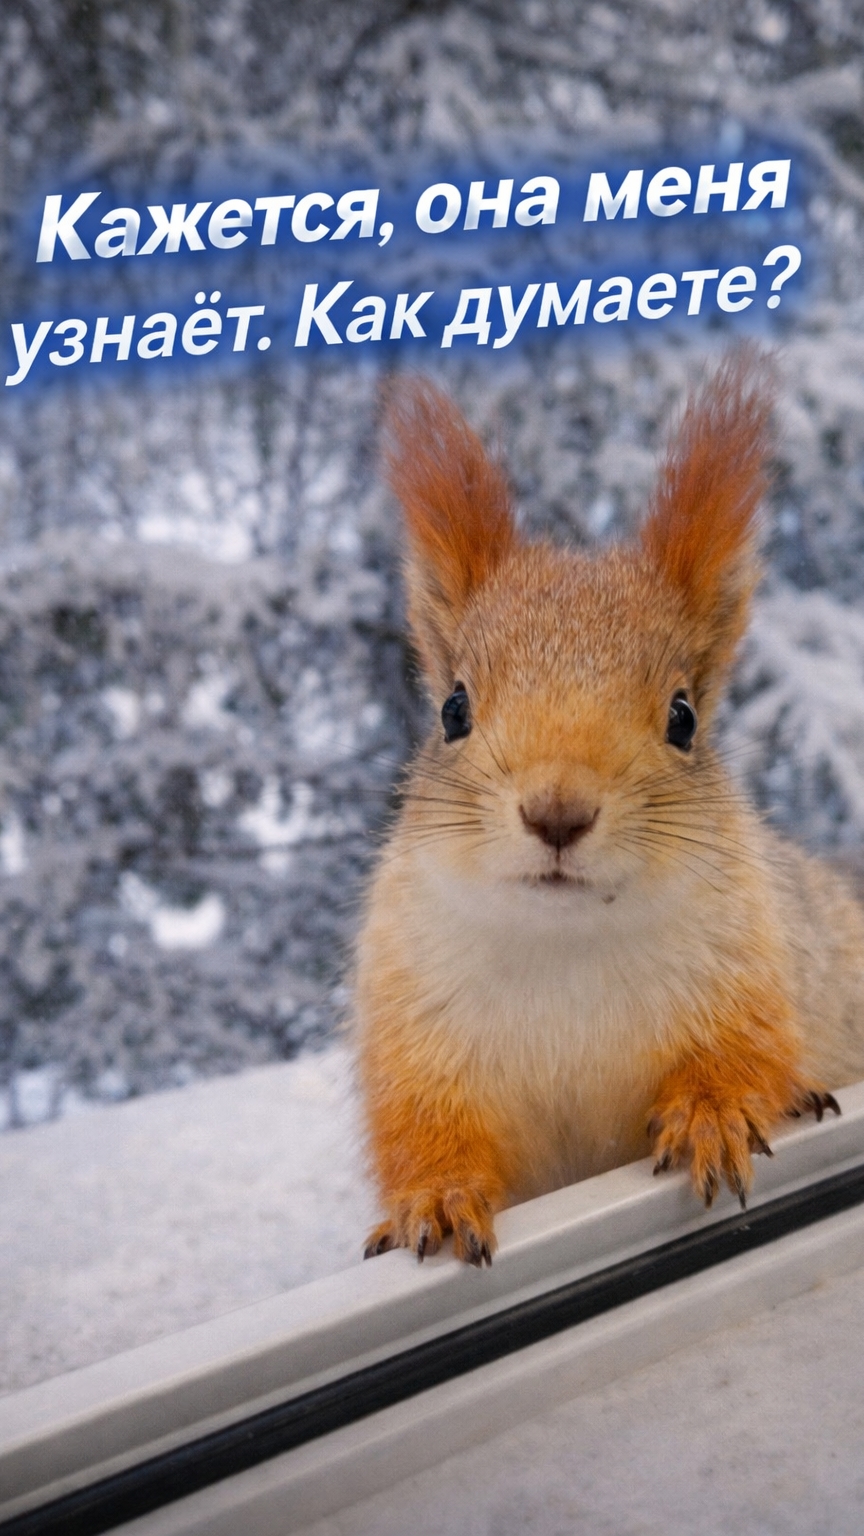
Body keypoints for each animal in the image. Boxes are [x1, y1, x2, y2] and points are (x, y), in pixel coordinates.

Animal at [355, 353, 864, 1267]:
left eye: (683, 717)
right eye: (452, 710)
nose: (557, 813)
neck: (566, 945)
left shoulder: (754, 971)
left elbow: (749, 1056)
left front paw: (711, 1114)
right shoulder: (412, 1036)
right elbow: (426, 1130)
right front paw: (436, 1197)